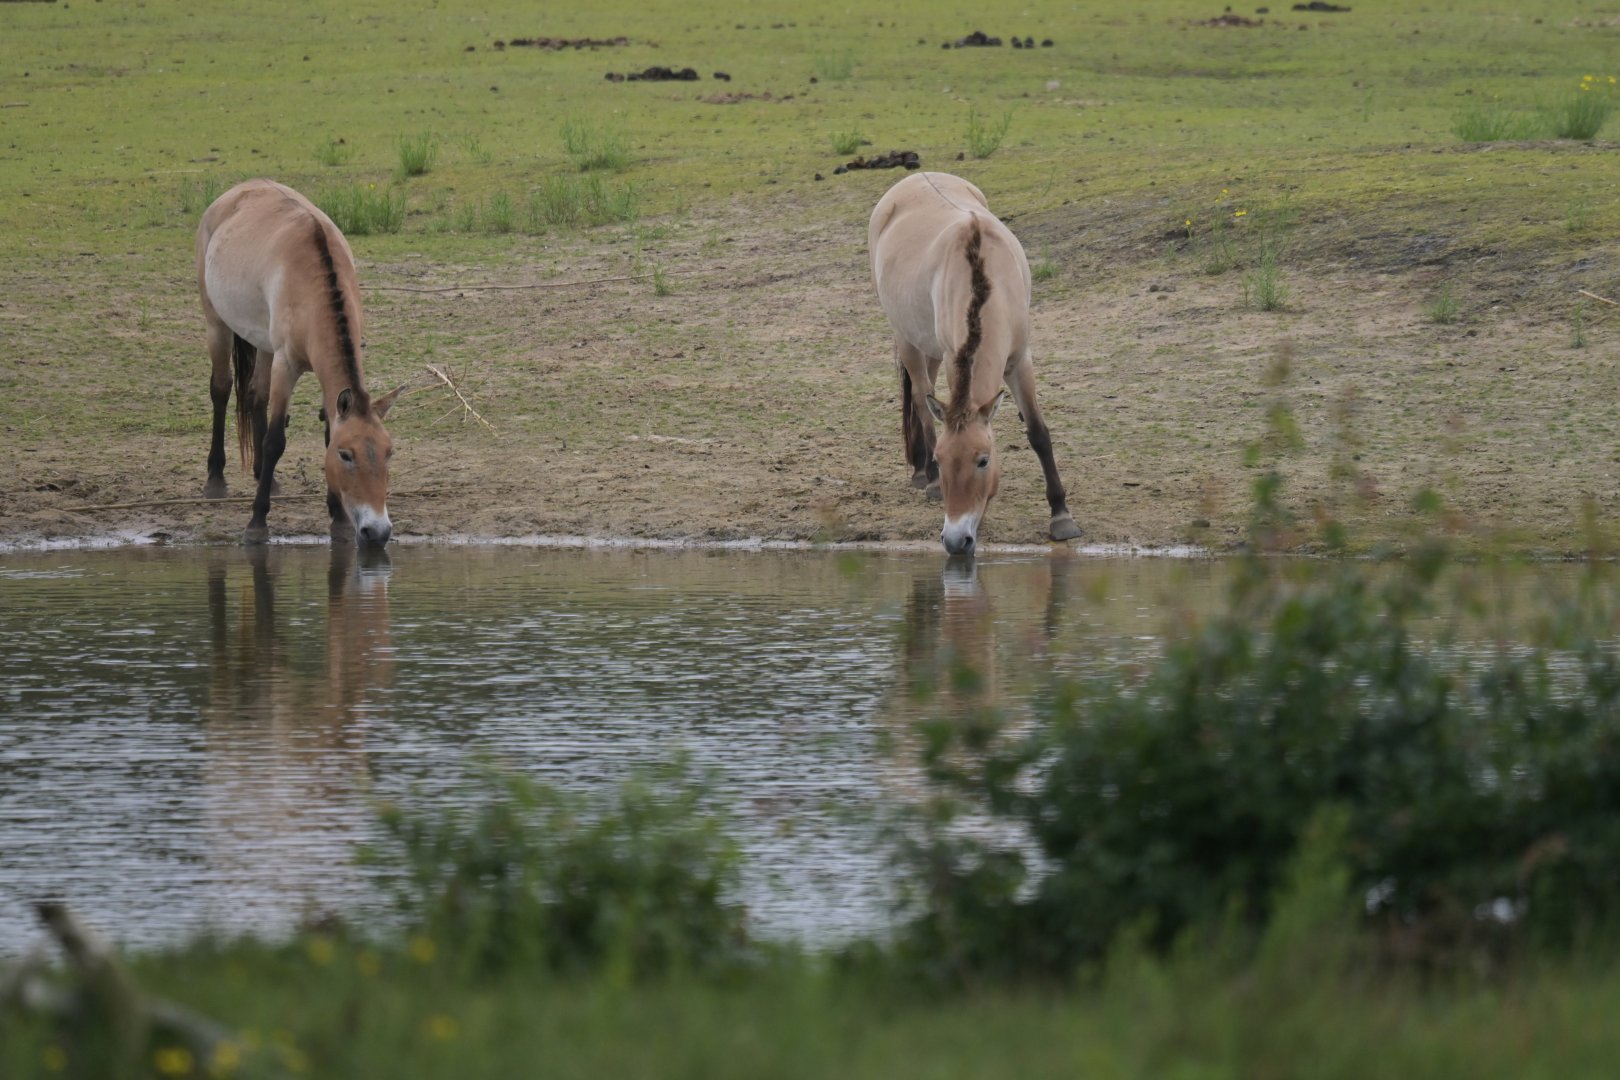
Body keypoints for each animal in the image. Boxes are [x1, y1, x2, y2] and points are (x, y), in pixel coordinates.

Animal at [197, 179, 402, 546]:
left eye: (389, 452)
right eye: (346, 455)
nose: (377, 531)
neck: (314, 289)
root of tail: (233, 193)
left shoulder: (323, 376)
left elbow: (324, 430)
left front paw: (339, 520)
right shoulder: (287, 364)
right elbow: (275, 439)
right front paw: (257, 524)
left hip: (262, 342)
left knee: (255, 395)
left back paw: (265, 476)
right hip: (217, 324)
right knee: (221, 388)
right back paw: (215, 480)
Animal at [868, 172, 1081, 555]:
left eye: (983, 460)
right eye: (943, 459)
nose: (956, 540)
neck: (984, 276)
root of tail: (912, 178)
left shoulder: (1019, 359)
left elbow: (1038, 432)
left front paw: (1061, 516)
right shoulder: (955, 357)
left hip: (928, 346)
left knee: (925, 395)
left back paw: (919, 470)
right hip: (905, 337)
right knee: (921, 398)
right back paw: (926, 478)